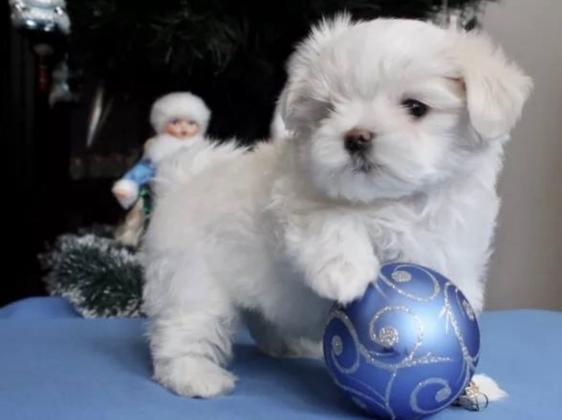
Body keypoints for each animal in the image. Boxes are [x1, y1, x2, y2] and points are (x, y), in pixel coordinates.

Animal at [142, 16, 531, 399]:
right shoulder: (293, 197)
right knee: (185, 328)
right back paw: (194, 375)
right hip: (192, 278)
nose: (356, 137)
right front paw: (346, 275)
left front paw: (472, 384)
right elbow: (330, 219)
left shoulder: (453, 252)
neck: (395, 201)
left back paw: (290, 345)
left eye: (416, 107)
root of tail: (180, 181)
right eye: (328, 110)